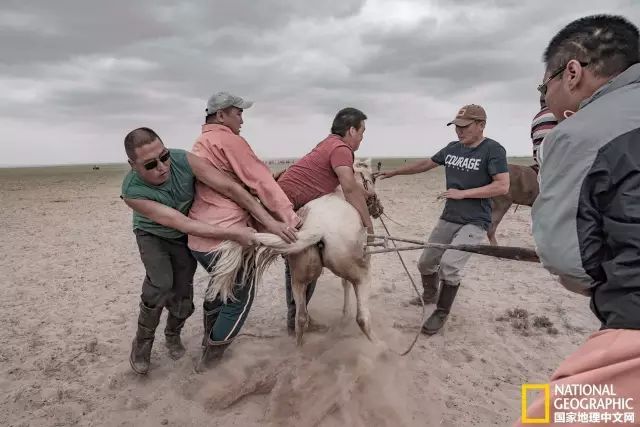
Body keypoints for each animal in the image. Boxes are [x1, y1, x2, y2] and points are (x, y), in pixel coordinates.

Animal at [208, 160, 382, 348]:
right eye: (372, 178)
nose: (379, 208)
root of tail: (317, 228)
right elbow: (345, 285)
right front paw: (345, 315)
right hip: (362, 275)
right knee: (362, 318)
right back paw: (380, 347)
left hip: (298, 279)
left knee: (301, 317)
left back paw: (299, 348)